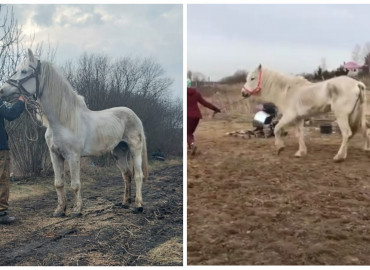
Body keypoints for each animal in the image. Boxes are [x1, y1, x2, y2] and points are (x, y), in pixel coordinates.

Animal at [1, 49, 149, 217]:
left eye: (24, 71)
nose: (2, 91)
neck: (62, 122)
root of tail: (135, 116)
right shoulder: (55, 156)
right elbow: (59, 183)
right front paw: (60, 210)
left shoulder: (73, 156)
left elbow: (75, 184)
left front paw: (77, 210)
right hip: (119, 151)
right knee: (126, 175)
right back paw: (125, 203)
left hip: (135, 150)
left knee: (138, 176)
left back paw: (138, 205)